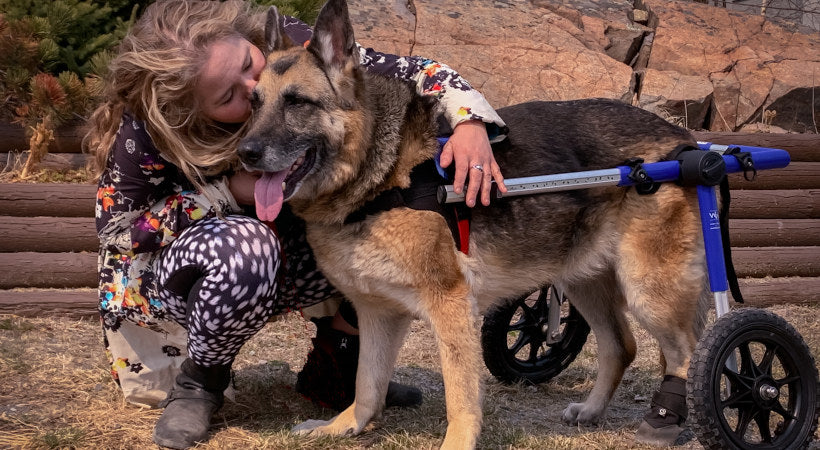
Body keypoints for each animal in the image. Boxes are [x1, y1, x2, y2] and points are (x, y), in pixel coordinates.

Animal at [239, 0, 712, 446]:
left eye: (297, 102)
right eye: (254, 103)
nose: (245, 153)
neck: (382, 175)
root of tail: (684, 141)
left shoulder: (450, 305)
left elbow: (460, 395)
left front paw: (456, 442)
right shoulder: (377, 314)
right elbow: (367, 385)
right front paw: (344, 427)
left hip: (648, 291)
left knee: (689, 354)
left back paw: (671, 420)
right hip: (583, 281)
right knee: (621, 346)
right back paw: (594, 410)